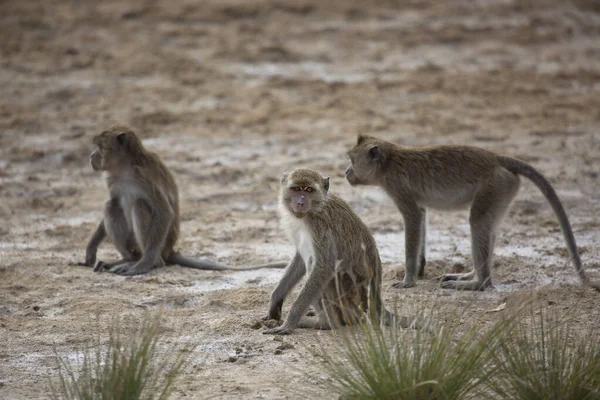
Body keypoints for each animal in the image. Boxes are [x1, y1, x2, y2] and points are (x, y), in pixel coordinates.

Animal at [78, 126, 288, 276]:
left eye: (99, 147)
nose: (91, 156)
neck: (125, 168)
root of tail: (169, 250)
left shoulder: (145, 176)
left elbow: (164, 212)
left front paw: (143, 266)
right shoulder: (112, 179)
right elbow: (114, 200)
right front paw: (91, 248)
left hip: (160, 246)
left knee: (139, 206)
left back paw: (149, 262)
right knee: (112, 206)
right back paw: (126, 259)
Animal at [262, 167, 412, 336]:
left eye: (309, 190)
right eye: (296, 189)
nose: (300, 202)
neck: (314, 210)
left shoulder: (321, 227)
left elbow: (323, 267)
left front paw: (289, 323)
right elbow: (300, 258)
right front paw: (275, 301)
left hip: (350, 298)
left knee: (316, 266)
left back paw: (326, 323)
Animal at [344, 133, 596, 292]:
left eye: (352, 160)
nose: (346, 171)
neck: (389, 160)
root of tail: (496, 157)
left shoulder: (397, 187)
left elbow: (413, 217)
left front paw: (408, 280)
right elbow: (422, 214)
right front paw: (419, 269)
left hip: (494, 186)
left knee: (478, 221)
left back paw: (478, 283)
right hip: (504, 189)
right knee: (488, 226)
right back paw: (471, 276)